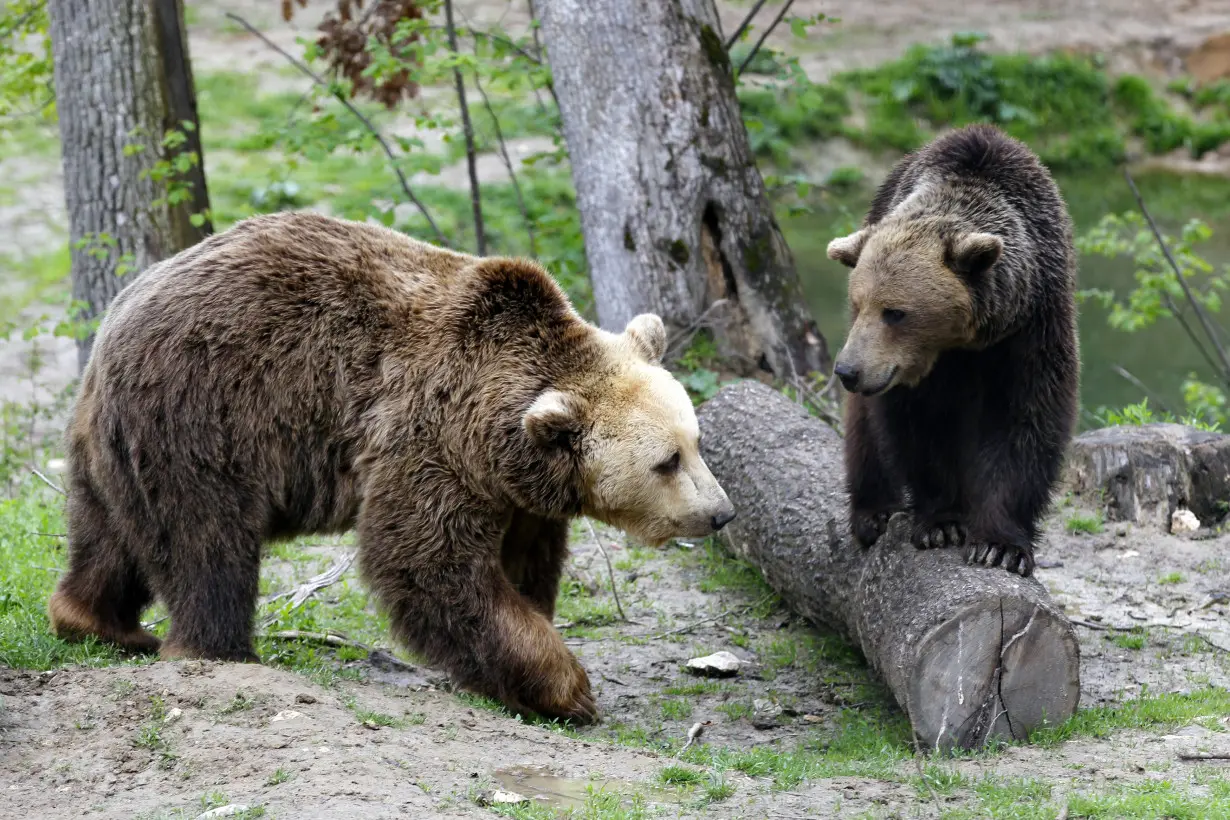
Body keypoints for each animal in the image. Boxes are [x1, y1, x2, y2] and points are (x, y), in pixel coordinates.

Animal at [47, 208, 733, 722]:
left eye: (697, 442)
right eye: (667, 461)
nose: (721, 512)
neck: (499, 429)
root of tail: (113, 320)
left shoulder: (517, 488)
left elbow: (524, 563)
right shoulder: (432, 437)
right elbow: (426, 560)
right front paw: (569, 689)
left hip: (111, 445)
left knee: (111, 537)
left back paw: (101, 624)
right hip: (203, 416)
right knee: (207, 541)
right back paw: (216, 651)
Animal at [826, 125, 1077, 580]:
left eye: (895, 312)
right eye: (858, 303)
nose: (848, 371)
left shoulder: (1031, 326)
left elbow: (1026, 419)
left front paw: (1000, 546)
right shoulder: (913, 372)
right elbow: (919, 427)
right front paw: (941, 523)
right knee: (864, 431)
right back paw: (873, 513)